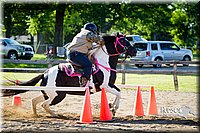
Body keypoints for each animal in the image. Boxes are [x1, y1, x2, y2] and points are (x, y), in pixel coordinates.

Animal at [2, 32, 136, 117]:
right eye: (123, 40)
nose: (134, 50)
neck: (103, 63)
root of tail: (45, 74)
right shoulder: (105, 86)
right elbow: (119, 93)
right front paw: (113, 108)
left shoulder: (110, 85)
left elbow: (119, 92)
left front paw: (112, 107)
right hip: (58, 95)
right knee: (44, 104)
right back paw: (55, 114)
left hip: (49, 94)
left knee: (34, 101)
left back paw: (37, 115)